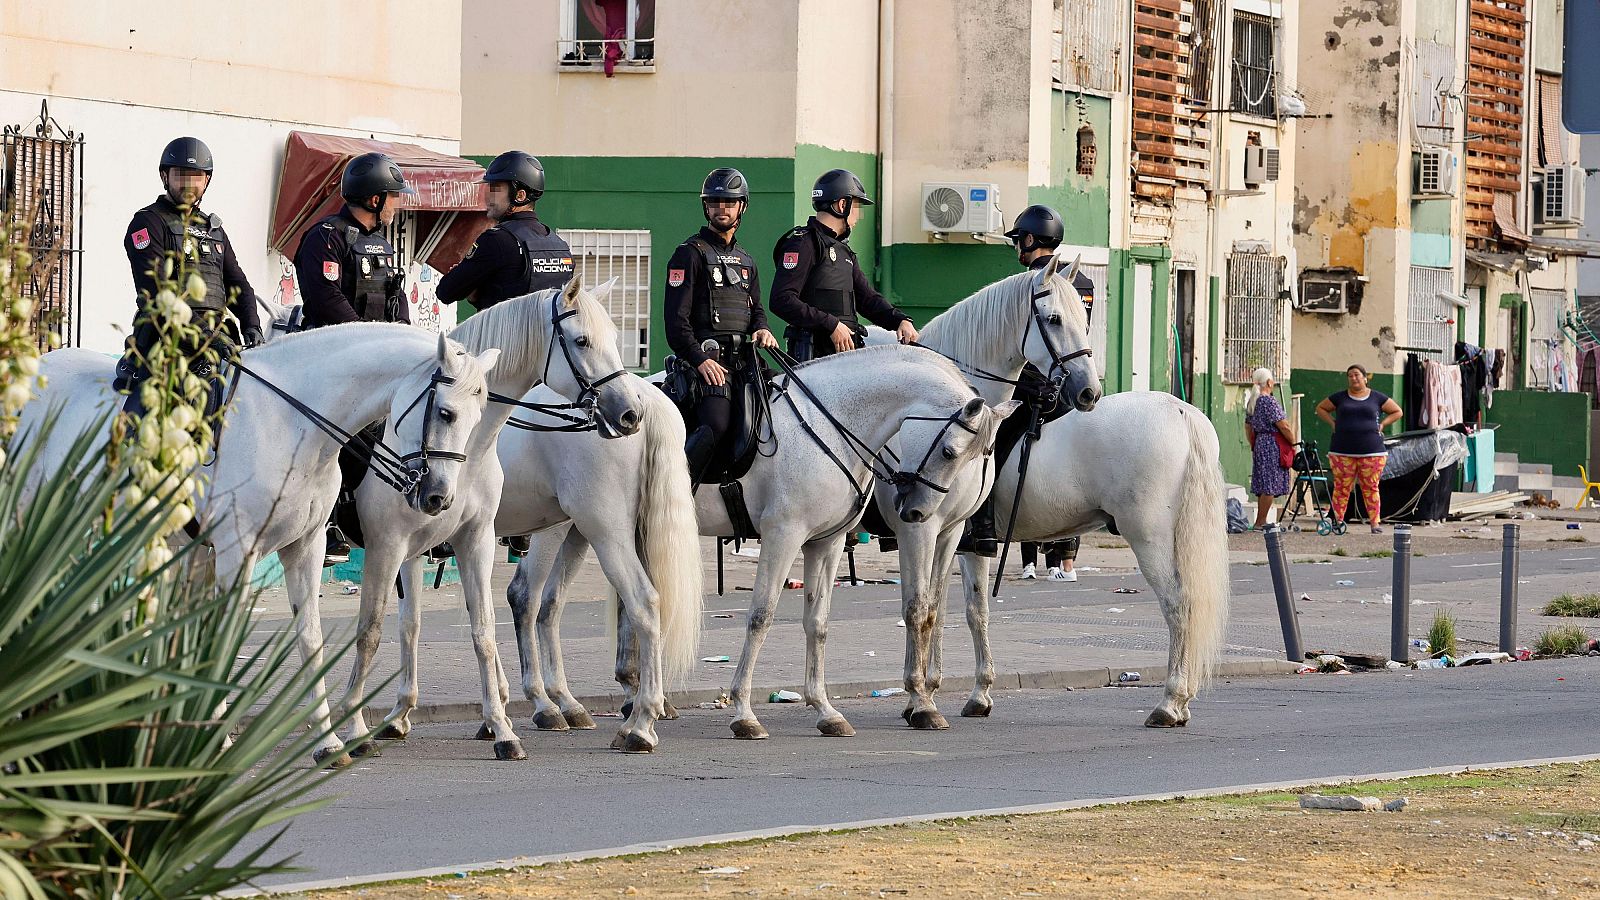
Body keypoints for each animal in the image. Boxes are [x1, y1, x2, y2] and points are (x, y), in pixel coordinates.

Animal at [18, 325, 492, 759]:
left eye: (476, 420)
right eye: (446, 413)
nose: (439, 498)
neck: (291, 425)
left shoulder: (305, 549)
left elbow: (309, 636)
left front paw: (327, 740)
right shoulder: (236, 552)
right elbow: (223, 639)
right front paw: (215, 737)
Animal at [340, 275, 652, 755]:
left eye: (618, 339)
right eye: (582, 340)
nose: (629, 412)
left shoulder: (457, 540)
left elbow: (468, 624)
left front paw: (491, 719)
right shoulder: (398, 545)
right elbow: (408, 624)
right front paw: (401, 714)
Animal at [505, 339, 1017, 739]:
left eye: (979, 455)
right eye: (950, 451)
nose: (914, 509)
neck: (831, 422)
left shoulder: (828, 543)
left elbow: (819, 622)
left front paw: (826, 710)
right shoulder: (783, 535)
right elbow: (761, 616)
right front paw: (744, 713)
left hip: (584, 528)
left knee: (552, 603)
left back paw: (577, 703)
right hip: (558, 527)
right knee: (527, 597)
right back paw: (548, 706)